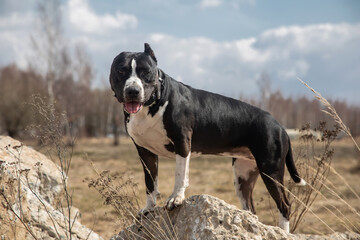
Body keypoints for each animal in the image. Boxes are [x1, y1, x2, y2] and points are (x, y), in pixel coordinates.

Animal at [109, 43, 304, 232]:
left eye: (146, 71)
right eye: (121, 71)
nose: (133, 90)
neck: (152, 104)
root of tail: (280, 126)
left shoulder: (182, 143)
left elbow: (180, 174)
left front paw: (176, 198)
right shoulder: (145, 153)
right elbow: (150, 184)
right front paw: (148, 209)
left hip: (271, 170)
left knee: (284, 205)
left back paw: (284, 231)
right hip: (244, 176)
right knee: (251, 208)